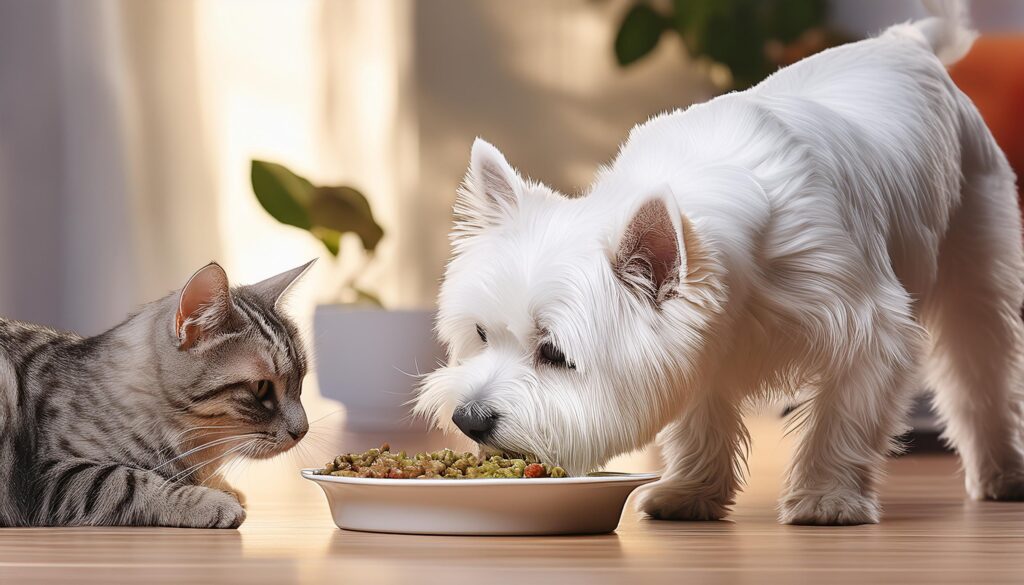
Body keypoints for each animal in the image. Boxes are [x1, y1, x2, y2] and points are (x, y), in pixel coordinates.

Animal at [0, 261, 311, 524]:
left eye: (302, 380)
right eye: (261, 387)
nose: (303, 431)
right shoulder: (51, 475)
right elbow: (127, 480)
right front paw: (213, 501)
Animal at [411, 1, 1019, 524]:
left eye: (556, 354)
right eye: (481, 334)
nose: (467, 419)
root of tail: (907, 42)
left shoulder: (870, 328)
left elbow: (843, 417)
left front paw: (827, 499)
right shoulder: (703, 341)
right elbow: (698, 418)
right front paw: (689, 493)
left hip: (977, 258)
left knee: (981, 374)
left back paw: (1001, 475)